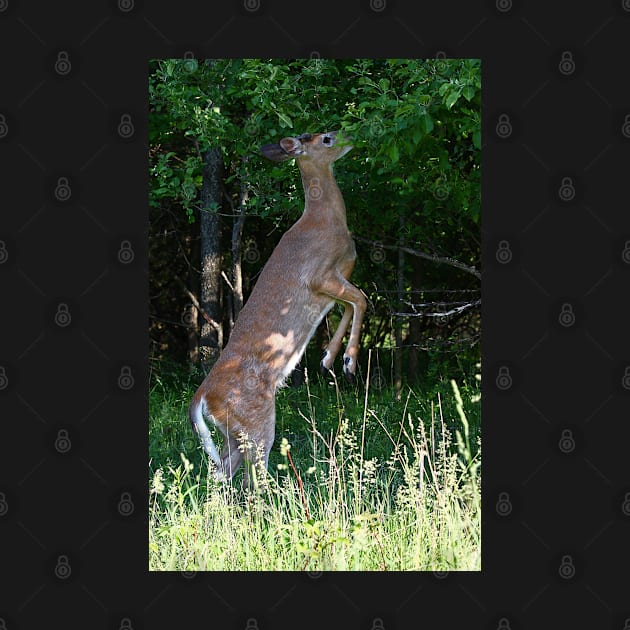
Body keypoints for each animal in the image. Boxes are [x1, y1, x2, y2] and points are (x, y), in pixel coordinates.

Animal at [188, 131, 366, 486]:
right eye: (326, 137)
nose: (351, 136)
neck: (326, 221)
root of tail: (202, 396)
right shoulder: (321, 276)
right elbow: (363, 299)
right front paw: (348, 362)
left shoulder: (334, 285)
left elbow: (351, 305)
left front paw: (328, 358)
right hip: (256, 424)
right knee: (251, 477)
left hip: (232, 434)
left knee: (221, 476)